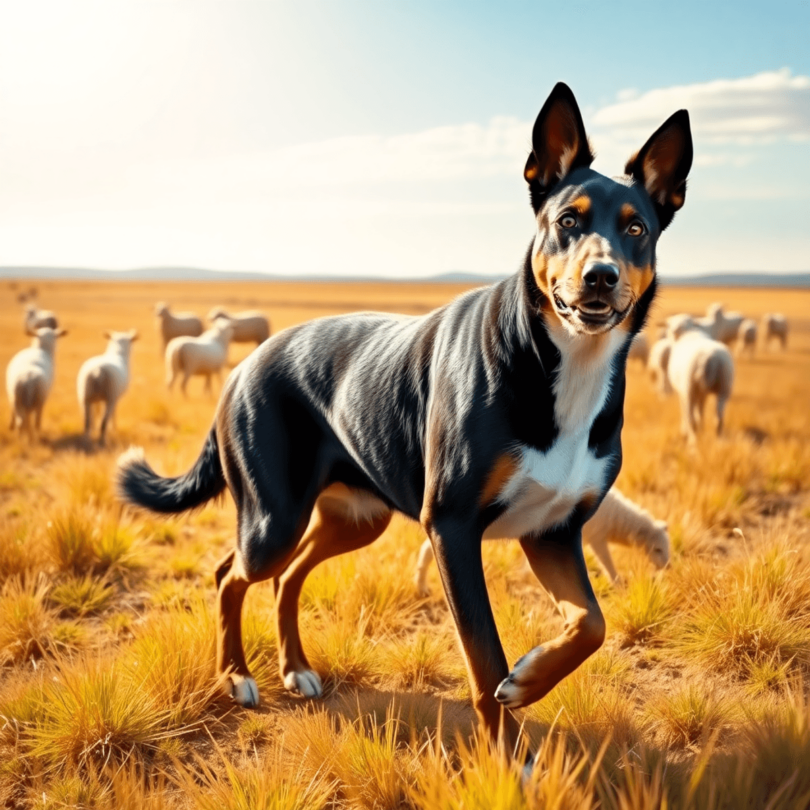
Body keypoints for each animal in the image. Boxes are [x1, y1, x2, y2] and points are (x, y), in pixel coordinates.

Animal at [414, 482, 664, 592]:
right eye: (658, 549)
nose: (666, 567)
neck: (616, 518)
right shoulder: (596, 539)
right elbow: (607, 562)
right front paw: (618, 582)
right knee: (426, 550)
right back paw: (421, 585)